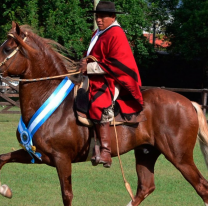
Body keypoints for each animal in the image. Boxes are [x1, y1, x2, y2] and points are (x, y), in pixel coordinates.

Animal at [0, 21, 208, 205]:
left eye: (7, 49)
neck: (49, 100)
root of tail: (189, 102)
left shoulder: (62, 159)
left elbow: (67, 195)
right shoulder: (37, 154)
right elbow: (2, 159)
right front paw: (5, 190)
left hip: (180, 157)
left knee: (201, 187)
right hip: (146, 152)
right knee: (145, 187)